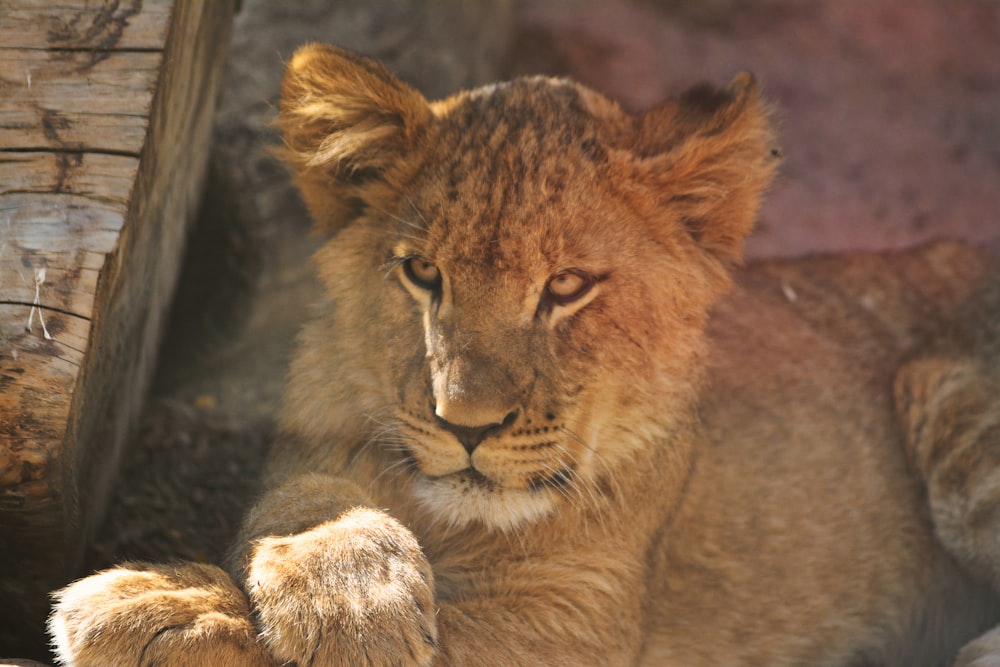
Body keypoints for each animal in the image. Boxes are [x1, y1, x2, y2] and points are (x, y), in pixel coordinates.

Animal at [47, 44, 1000, 664]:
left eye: (568, 285)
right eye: (423, 273)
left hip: (943, 390)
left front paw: (156, 608)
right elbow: (303, 499)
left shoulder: (579, 616)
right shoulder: (306, 449)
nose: (465, 424)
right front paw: (336, 590)